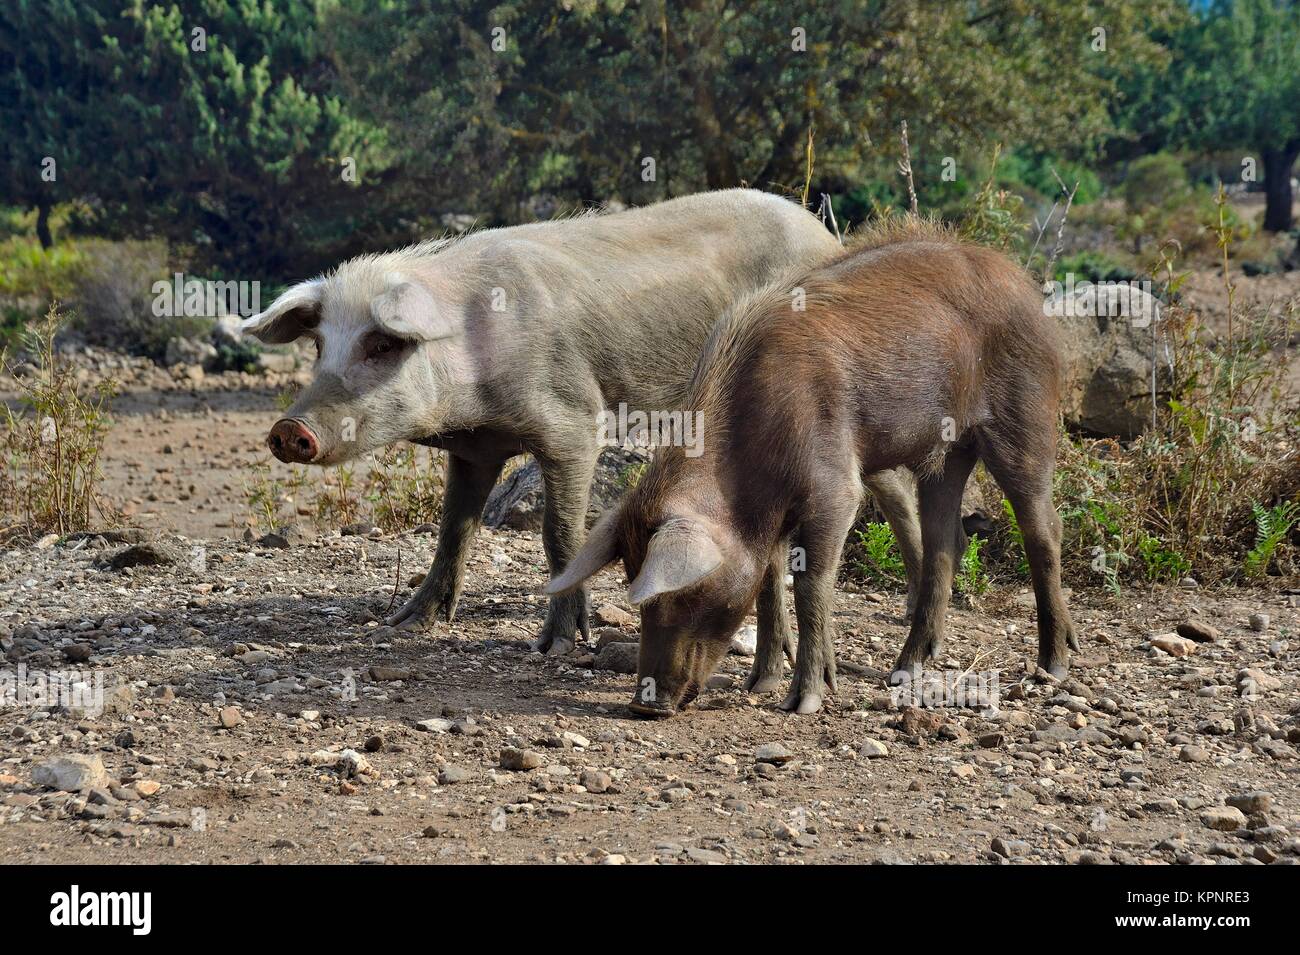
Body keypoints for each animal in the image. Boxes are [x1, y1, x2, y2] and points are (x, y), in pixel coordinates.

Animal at [548, 218, 1076, 717]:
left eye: (682, 594)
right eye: (630, 580)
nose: (644, 705)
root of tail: (1026, 286)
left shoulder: (835, 490)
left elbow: (809, 583)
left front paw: (803, 700)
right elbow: (767, 582)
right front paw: (759, 684)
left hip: (1026, 415)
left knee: (1045, 528)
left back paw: (1052, 666)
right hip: (945, 455)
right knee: (946, 542)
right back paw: (904, 672)